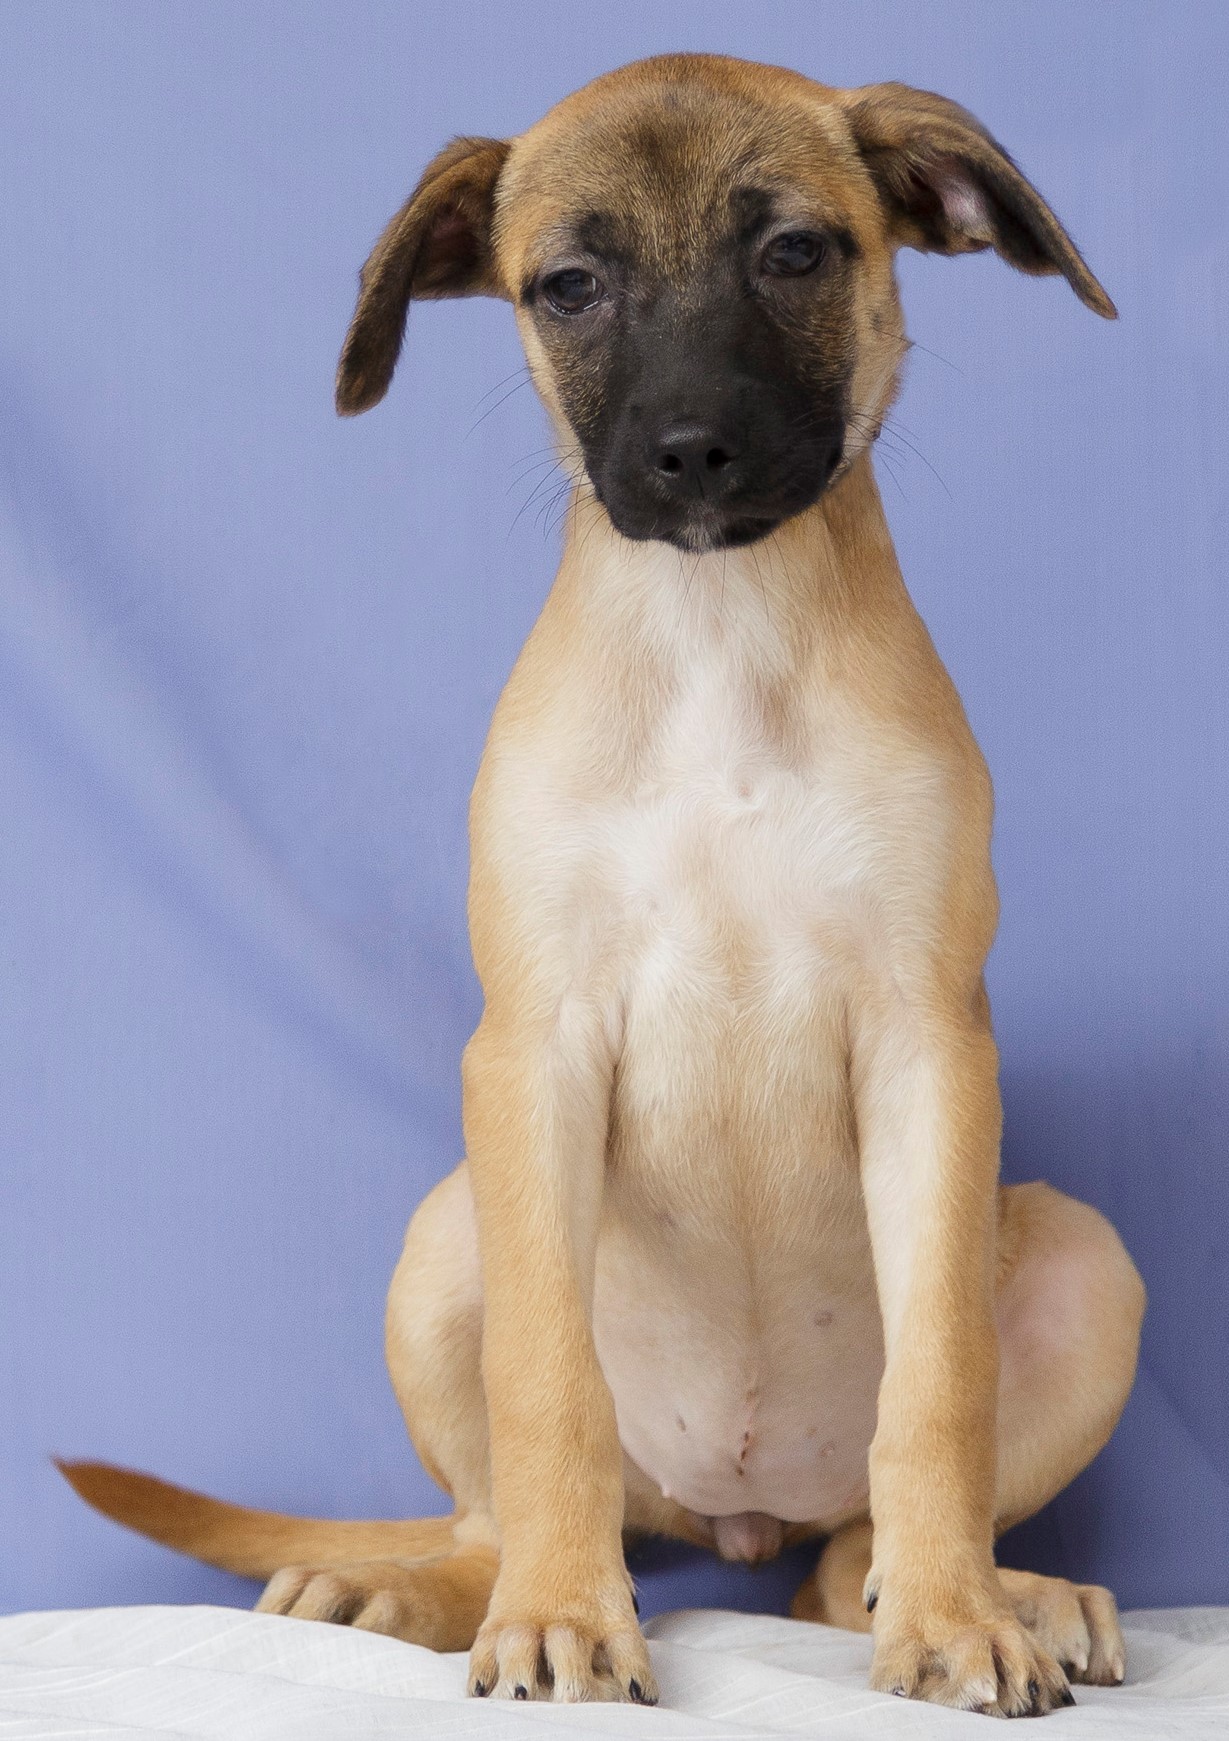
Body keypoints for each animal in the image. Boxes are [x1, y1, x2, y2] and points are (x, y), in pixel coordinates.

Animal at [64, 50, 1141, 1713]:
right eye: (568, 285)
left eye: (796, 253)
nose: (691, 452)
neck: (721, 633)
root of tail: (734, 1506)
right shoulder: (534, 1049)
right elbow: (547, 1390)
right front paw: (562, 1616)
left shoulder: (928, 1046)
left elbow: (939, 1386)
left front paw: (958, 1619)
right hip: (446, 1230)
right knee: (491, 1508)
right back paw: (425, 1588)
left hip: (1089, 1259)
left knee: (841, 1556)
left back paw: (997, 1590)